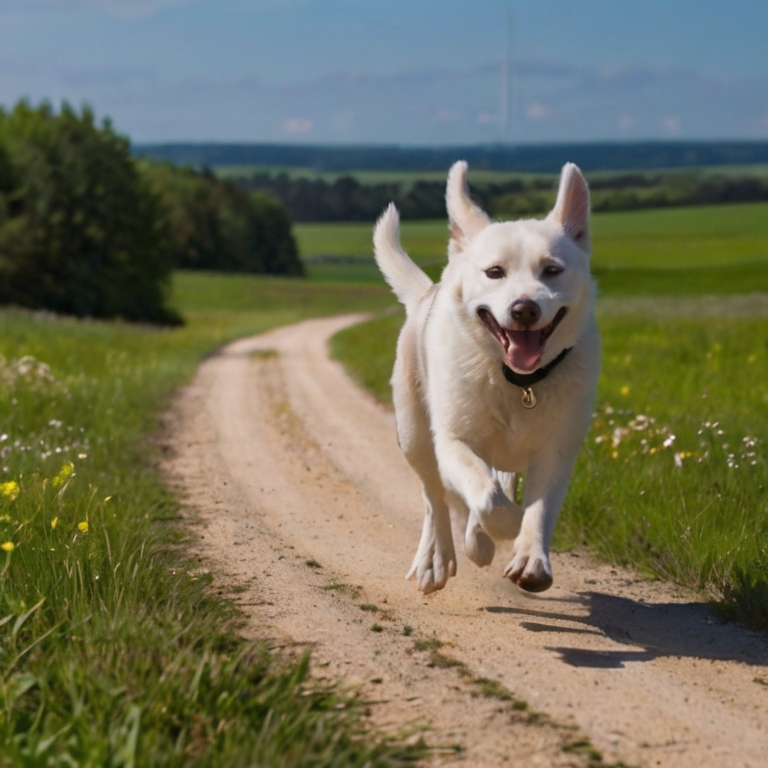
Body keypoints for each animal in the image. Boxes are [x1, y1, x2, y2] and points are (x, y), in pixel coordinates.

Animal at [372, 162, 600, 592]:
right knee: (434, 497)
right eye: (495, 272)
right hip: (414, 433)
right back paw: (437, 558)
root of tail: (425, 295)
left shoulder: (557, 450)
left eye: (552, 270)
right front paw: (501, 529)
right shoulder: (453, 442)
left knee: (496, 479)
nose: (525, 309)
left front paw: (530, 558)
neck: (517, 380)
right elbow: (488, 499)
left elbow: (538, 507)